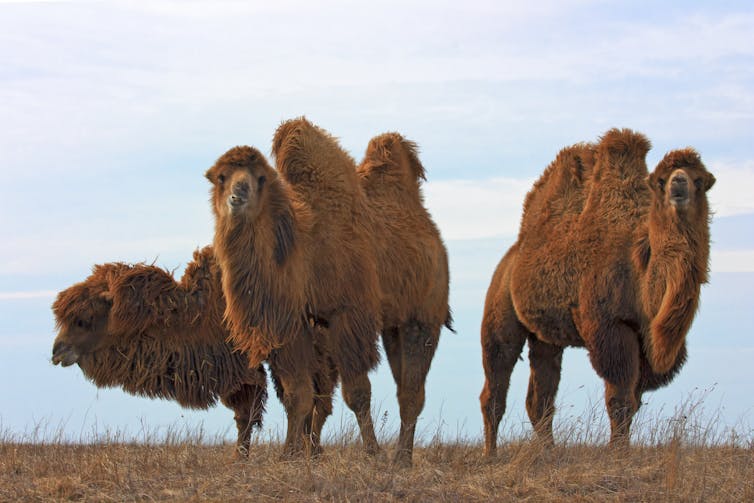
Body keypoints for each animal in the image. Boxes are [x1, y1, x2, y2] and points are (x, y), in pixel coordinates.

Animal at [206, 117, 382, 456]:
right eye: (222, 177)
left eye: (260, 178)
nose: (239, 193)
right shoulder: (286, 328)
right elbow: (296, 394)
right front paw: (291, 453)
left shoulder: (347, 313)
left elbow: (357, 391)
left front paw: (373, 451)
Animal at [478, 130, 712, 456]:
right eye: (661, 180)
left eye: (700, 180)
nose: (679, 183)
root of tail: (511, 258)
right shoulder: (610, 327)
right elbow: (620, 399)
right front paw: (618, 453)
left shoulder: (643, 339)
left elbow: (634, 400)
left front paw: (622, 448)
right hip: (500, 307)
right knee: (496, 379)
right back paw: (491, 453)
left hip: (545, 336)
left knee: (540, 394)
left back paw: (549, 451)